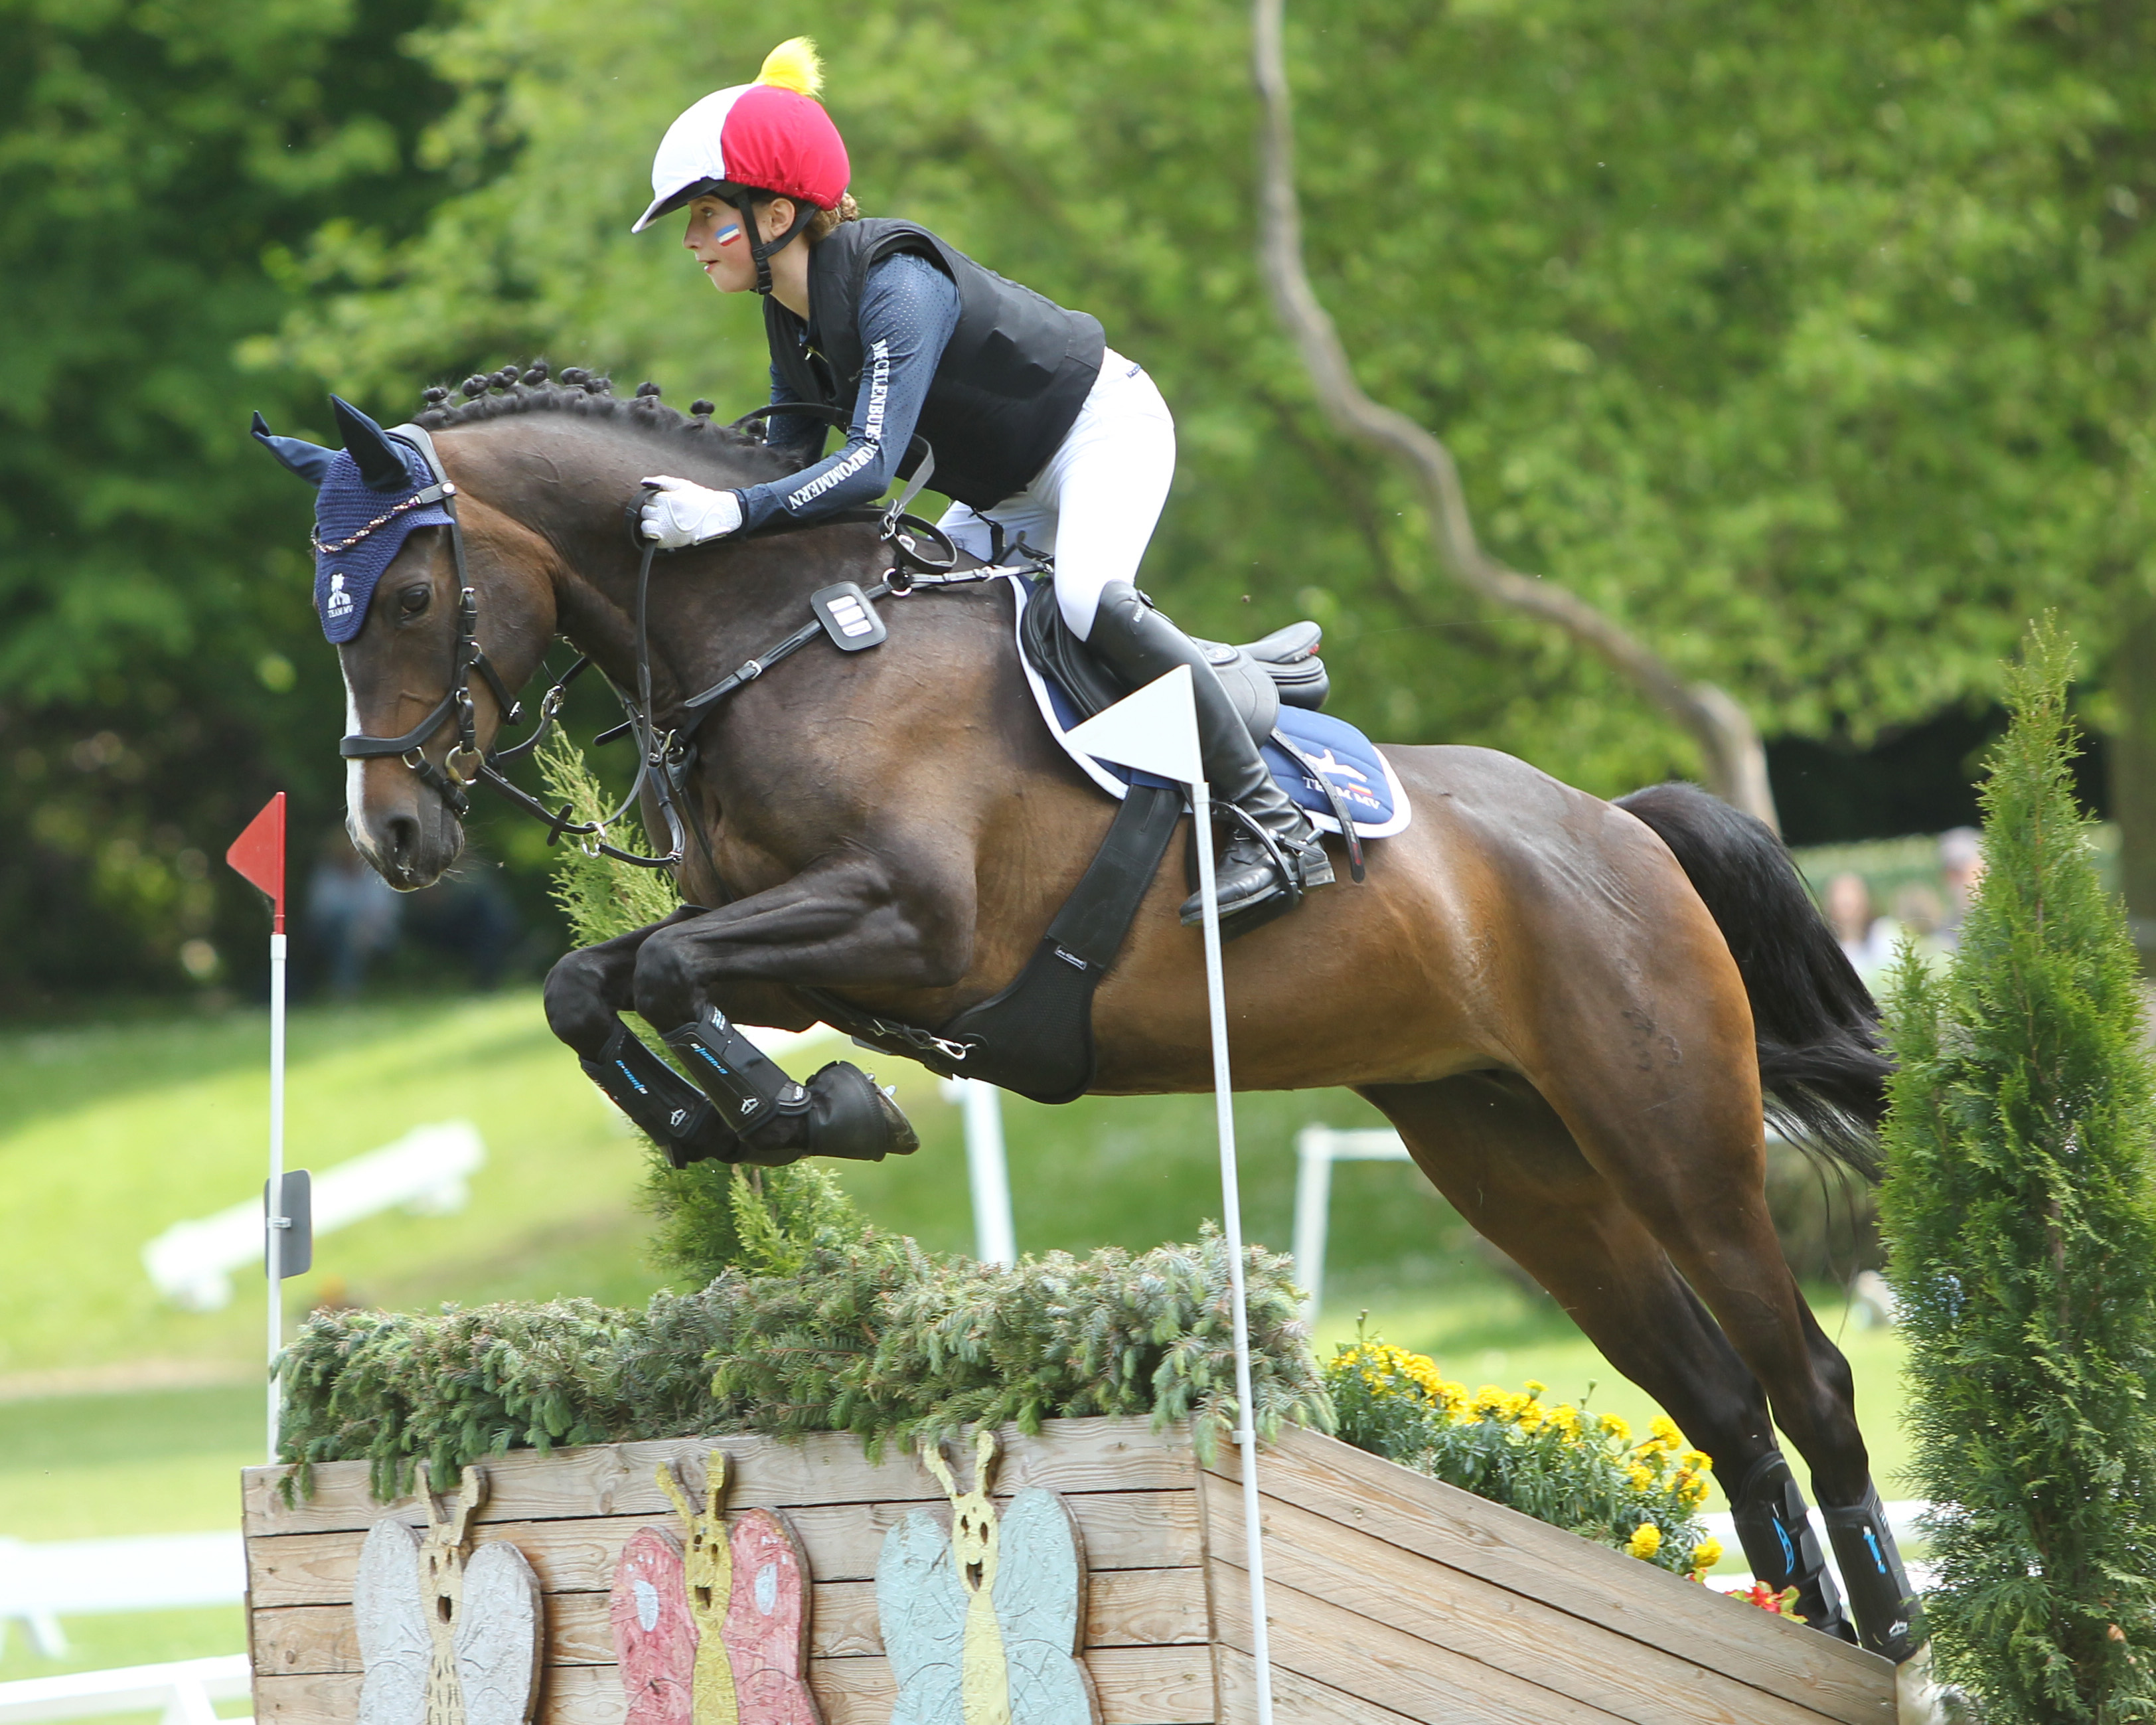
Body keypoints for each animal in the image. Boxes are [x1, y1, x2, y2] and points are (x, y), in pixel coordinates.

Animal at [257, 370, 1917, 1660]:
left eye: (410, 596)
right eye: (331, 617)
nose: (390, 839)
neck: (789, 635)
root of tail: (1621, 827)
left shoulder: (911, 927)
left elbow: (659, 976)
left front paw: (809, 1111)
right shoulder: (808, 957)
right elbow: (597, 983)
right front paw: (757, 1116)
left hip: (1667, 1130)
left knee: (1806, 1375)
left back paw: (1893, 1623)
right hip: (1512, 1162)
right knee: (1721, 1401)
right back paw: (1811, 1629)